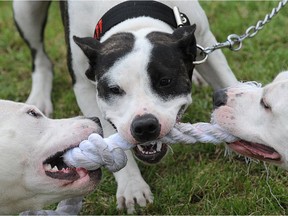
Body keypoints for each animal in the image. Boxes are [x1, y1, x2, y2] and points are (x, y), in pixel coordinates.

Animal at [13, 0, 237, 213]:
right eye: (113, 89)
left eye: (165, 81)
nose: (144, 125)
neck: (133, 12)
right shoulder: (84, 86)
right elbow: (109, 141)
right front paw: (132, 186)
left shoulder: (206, 42)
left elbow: (228, 82)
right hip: (25, 10)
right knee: (40, 57)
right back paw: (39, 97)